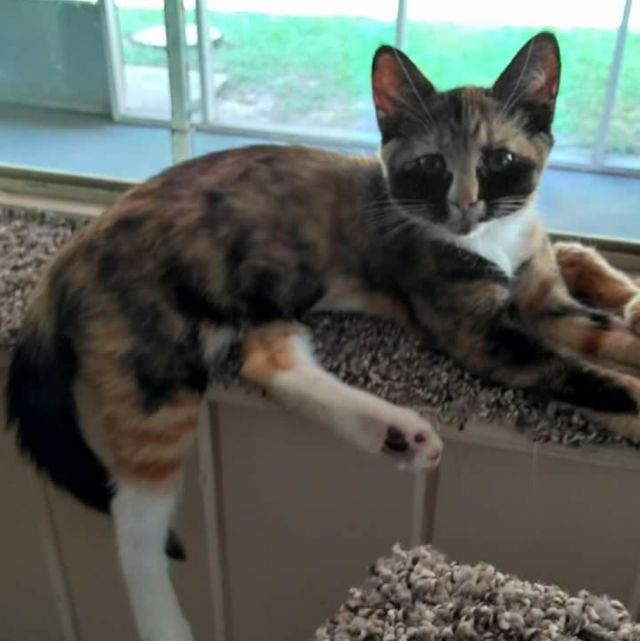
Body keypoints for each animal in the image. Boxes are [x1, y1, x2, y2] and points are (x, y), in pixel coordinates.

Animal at [5, 31, 640, 641]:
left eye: (499, 158)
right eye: (432, 165)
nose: (464, 204)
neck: (493, 241)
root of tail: (74, 250)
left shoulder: (547, 301)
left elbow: (600, 339)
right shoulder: (478, 334)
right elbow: (575, 372)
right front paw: (627, 401)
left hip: (265, 300)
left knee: (271, 364)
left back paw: (397, 435)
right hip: (158, 365)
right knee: (134, 519)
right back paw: (167, 626)